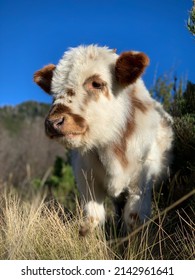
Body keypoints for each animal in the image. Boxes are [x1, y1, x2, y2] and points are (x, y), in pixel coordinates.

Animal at [34, 44, 174, 235]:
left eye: (96, 83)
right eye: (53, 92)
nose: (53, 122)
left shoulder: (142, 183)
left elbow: (134, 219)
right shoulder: (86, 180)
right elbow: (92, 220)